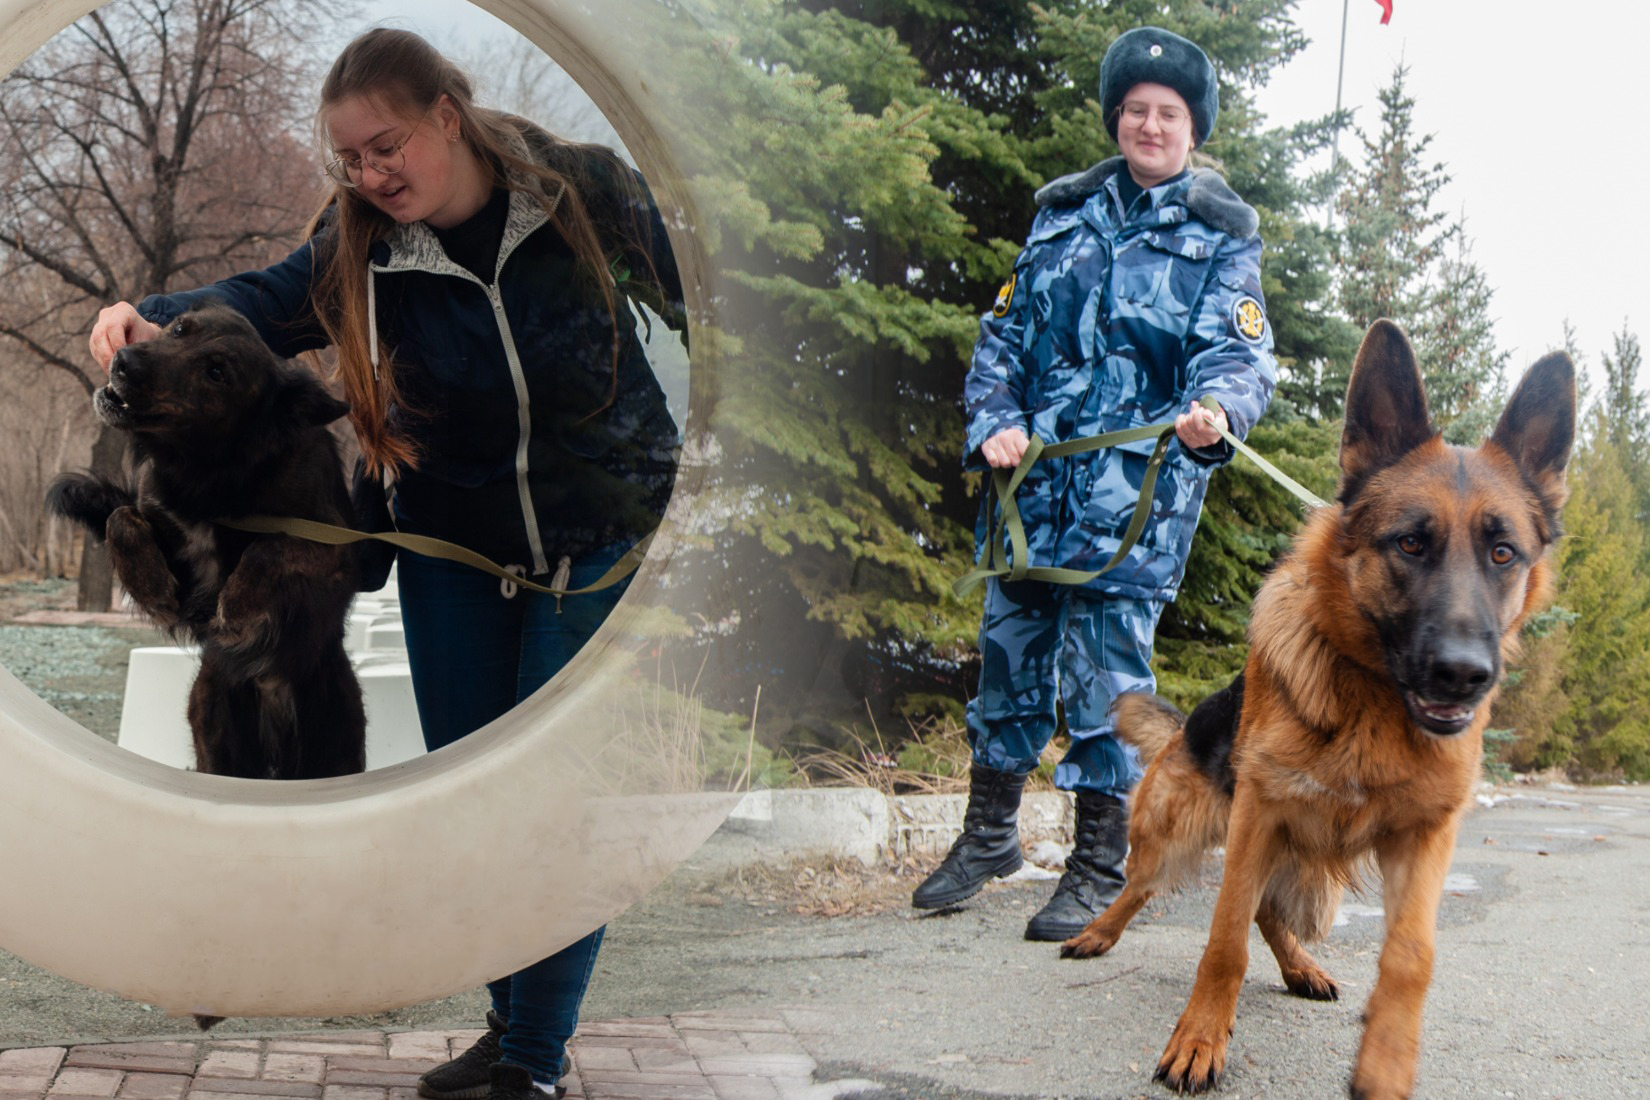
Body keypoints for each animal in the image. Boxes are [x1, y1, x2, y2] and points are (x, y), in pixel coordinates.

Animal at [49, 305, 367, 778]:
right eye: (179, 329)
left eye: (217, 372)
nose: (122, 360)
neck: (212, 470)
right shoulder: (173, 548)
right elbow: (121, 517)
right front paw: (150, 586)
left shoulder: (338, 548)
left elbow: (272, 545)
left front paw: (236, 604)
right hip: (217, 739)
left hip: (335, 746)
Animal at [1062, 319, 1577, 1100]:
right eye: (1410, 542)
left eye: (1502, 553)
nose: (1463, 676)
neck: (1373, 702)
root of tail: (1185, 729)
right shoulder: (1257, 816)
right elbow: (1222, 941)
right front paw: (1199, 1040)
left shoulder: (1423, 838)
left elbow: (1411, 954)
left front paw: (1386, 1062)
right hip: (1180, 835)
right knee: (1143, 886)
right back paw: (1095, 932)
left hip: (1310, 876)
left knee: (1273, 914)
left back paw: (1301, 967)